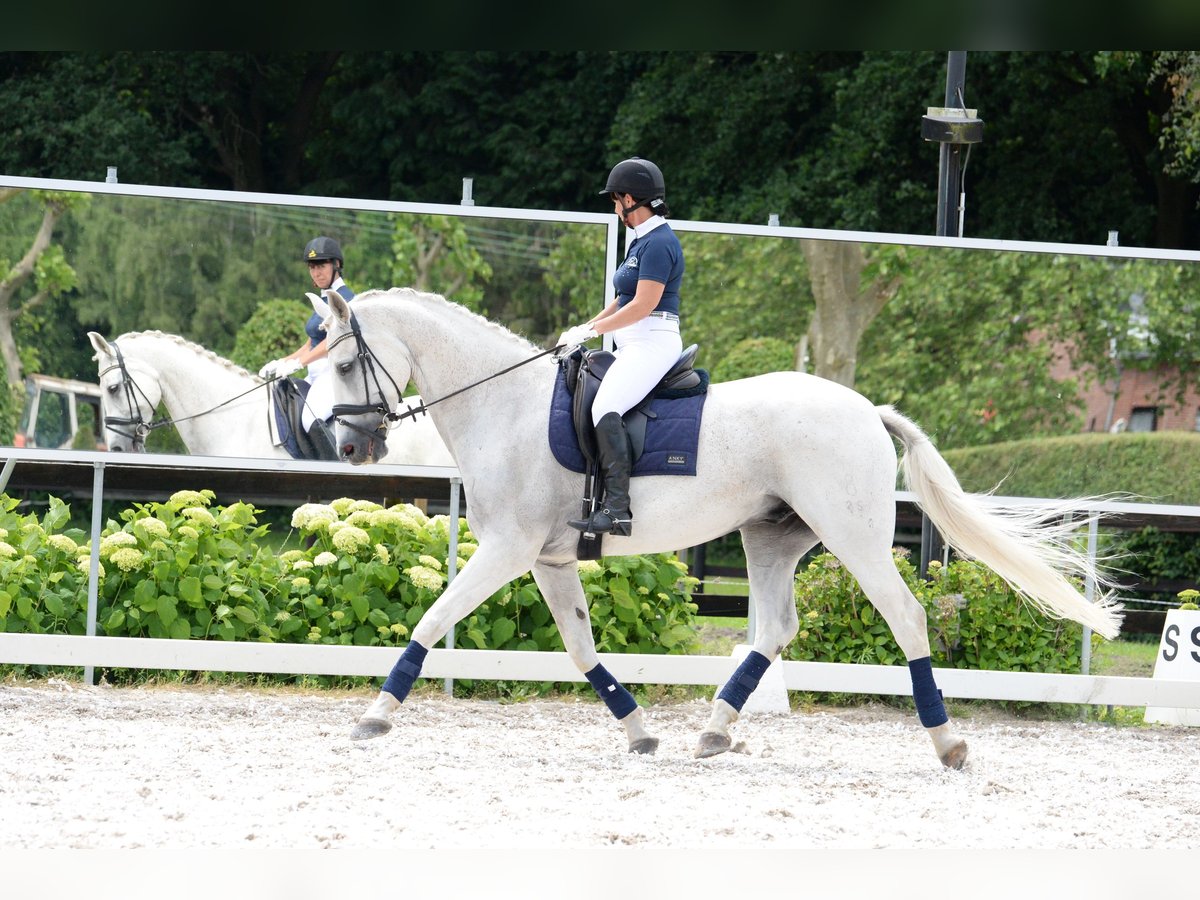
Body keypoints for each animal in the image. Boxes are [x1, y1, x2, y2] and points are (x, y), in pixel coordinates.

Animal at [309, 286, 1123, 768]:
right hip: (771, 538)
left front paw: (376, 716)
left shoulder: (509, 551)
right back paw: (715, 729)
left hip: (855, 537)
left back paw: (948, 741)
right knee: (775, 629)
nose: (347, 449)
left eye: (345, 364)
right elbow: (580, 648)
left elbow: (431, 618)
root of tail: (867, 408)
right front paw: (640, 731)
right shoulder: (549, 560)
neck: (503, 407)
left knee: (907, 617)